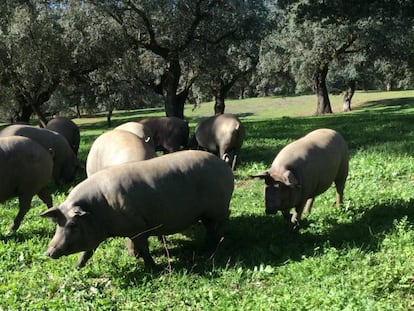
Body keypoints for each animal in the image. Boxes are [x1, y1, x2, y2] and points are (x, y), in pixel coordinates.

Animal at [40, 151, 234, 268]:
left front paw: (153, 267)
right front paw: (76, 268)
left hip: (218, 207)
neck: (100, 209)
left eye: (73, 225)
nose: (48, 252)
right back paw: (207, 245)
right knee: (210, 225)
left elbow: (143, 248)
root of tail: (224, 165)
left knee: (223, 219)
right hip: (207, 212)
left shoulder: (138, 227)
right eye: (58, 224)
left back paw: (218, 244)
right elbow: (87, 252)